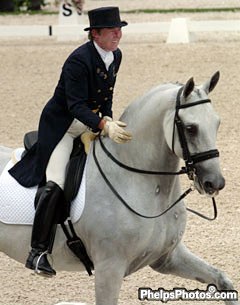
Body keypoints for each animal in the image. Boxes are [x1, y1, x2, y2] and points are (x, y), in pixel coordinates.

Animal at [0, 72, 238, 304]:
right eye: (190, 128)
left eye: (217, 123)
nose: (214, 183)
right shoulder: (109, 268)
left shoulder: (168, 257)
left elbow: (222, 280)